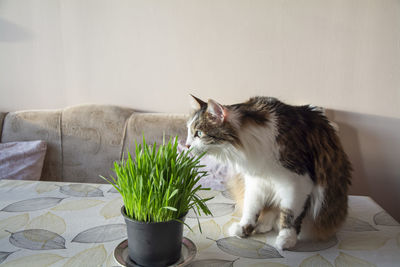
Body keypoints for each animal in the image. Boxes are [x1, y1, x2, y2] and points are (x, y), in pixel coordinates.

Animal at [184, 96, 350, 251]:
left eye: (199, 133)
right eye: (189, 132)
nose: (186, 145)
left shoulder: (298, 183)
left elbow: (289, 214)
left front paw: (287, 239)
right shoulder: (256, 181)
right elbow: (251, 208)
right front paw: (244, 228)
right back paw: (262, 225)